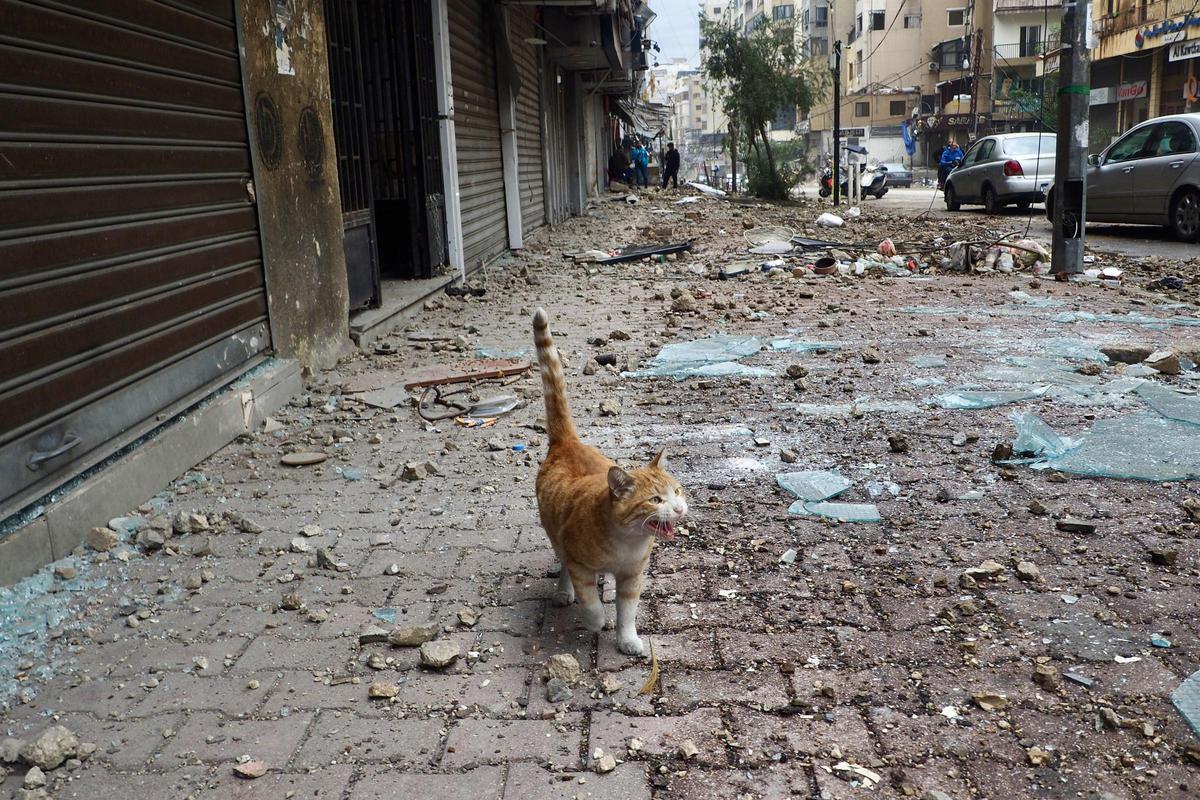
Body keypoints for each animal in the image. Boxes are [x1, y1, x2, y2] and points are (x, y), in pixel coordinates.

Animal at [532, 309, 691, 652]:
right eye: (655, 499)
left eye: (677, 491)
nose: (679, 509)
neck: (627, 542)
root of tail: (567, 443)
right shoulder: (579, 563)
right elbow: (590, 600)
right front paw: (596, 621)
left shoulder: (632, 576)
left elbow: (627, 610)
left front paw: (627, 639)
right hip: (554, 532)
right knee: (563, 566)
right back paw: (563, 593)